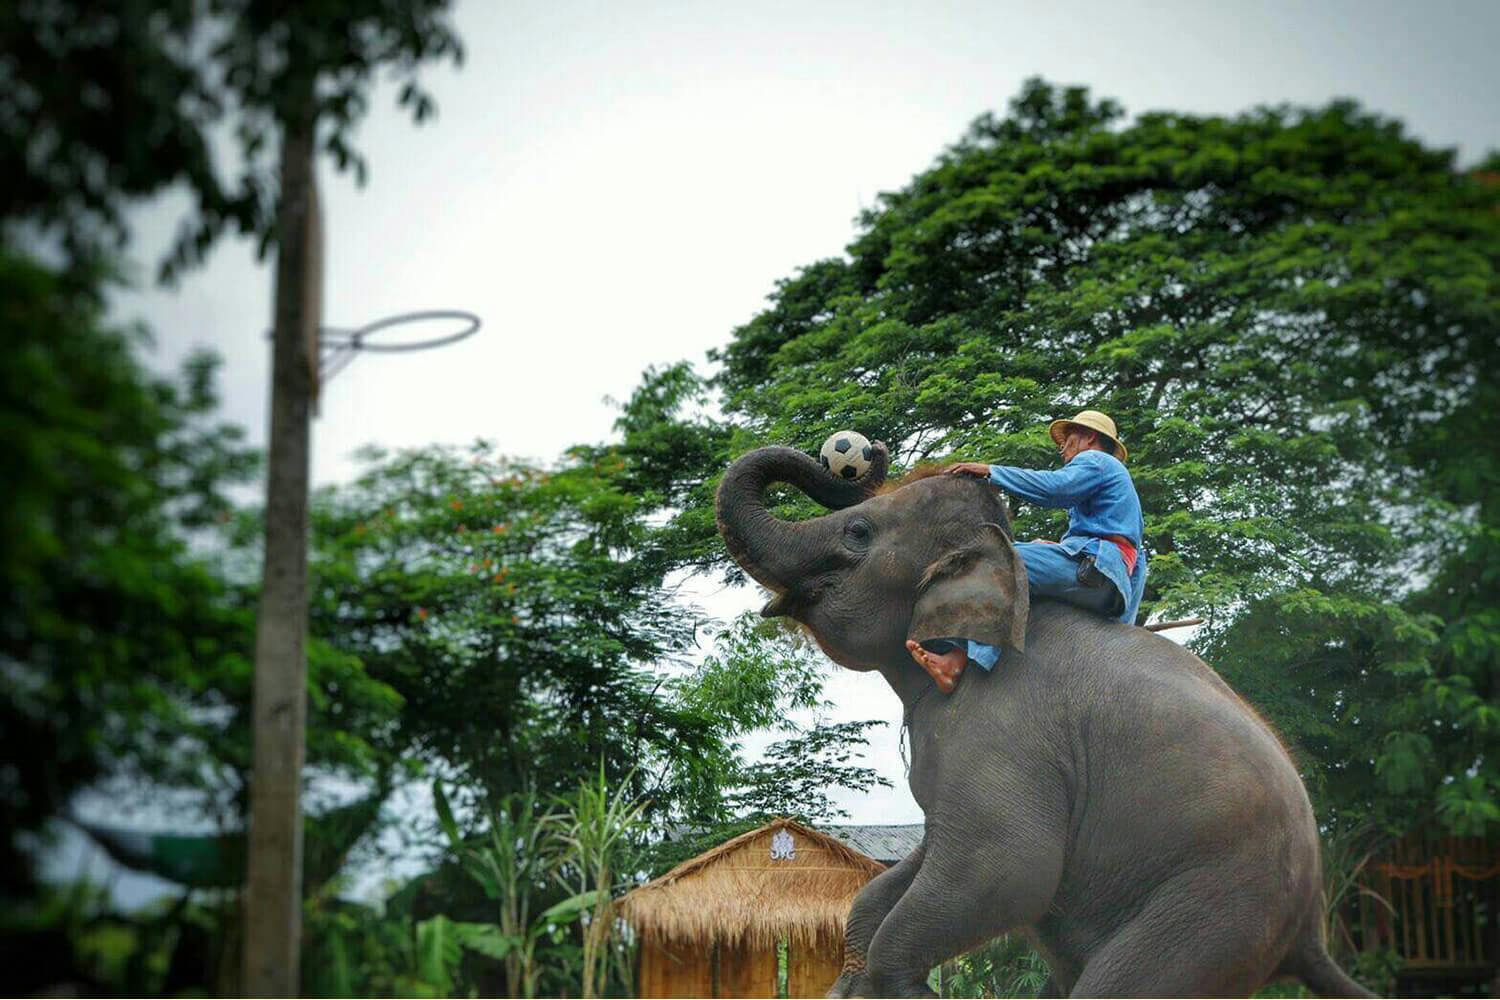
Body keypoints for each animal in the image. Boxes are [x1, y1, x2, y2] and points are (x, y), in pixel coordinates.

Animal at [715, 443, 1374, 998]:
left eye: (859, 532)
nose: (867, 451)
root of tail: (1310, 930)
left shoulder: (1007, 733)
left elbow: (1008, 866)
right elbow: (894, 882)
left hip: (1217, 909)